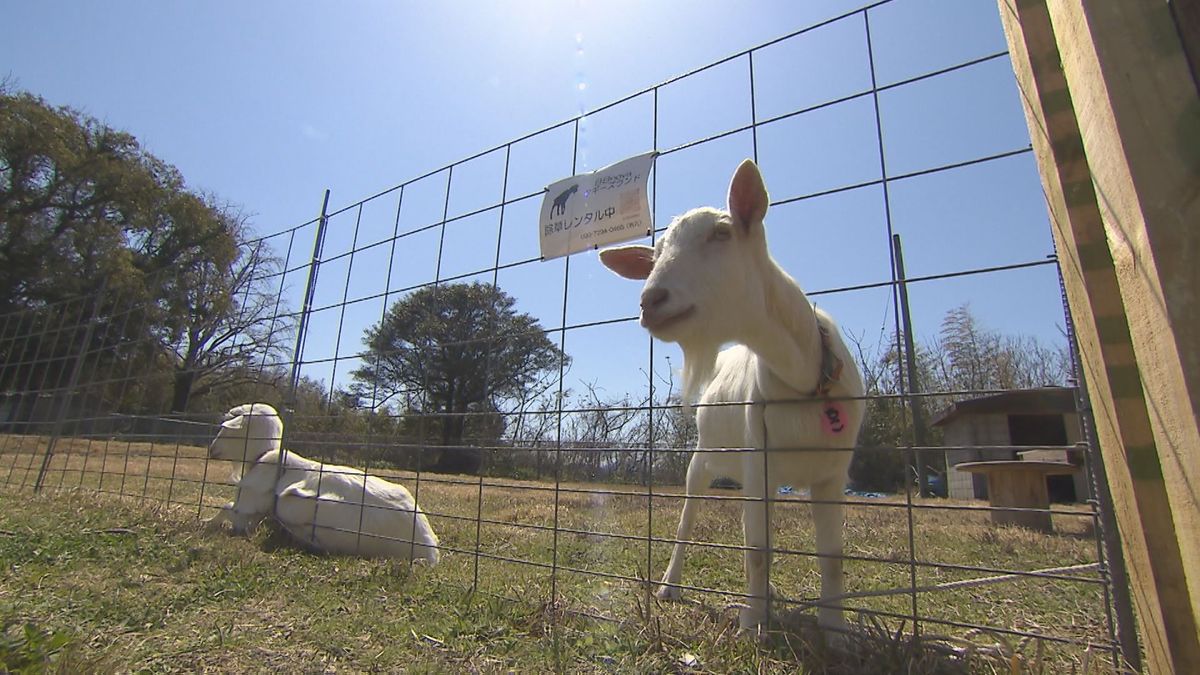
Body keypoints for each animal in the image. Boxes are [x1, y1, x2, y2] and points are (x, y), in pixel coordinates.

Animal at [206, 398, 441, 562]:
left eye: (226, 430)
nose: (211, 450)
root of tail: (430, 547)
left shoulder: (247, 510)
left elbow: (227, 509)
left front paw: (207, 522)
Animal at [600, 159, 864, 634]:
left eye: (722, 232)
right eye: (654, 256)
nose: (651, 300)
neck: (804, 381)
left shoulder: (832, 473)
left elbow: (831, 555)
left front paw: (835, 628)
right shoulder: (759, 460)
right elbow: (758, 550)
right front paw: (754, 623)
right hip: (704, 458)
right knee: (688, 521)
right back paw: (670, 586)